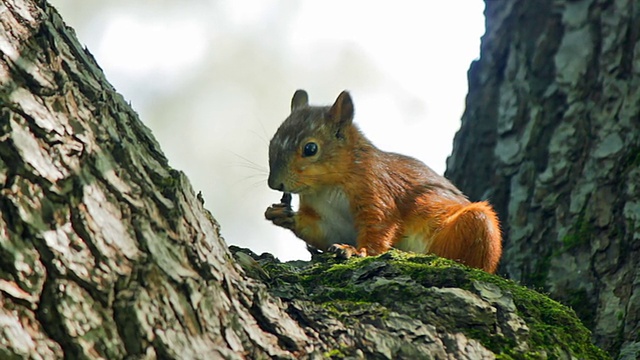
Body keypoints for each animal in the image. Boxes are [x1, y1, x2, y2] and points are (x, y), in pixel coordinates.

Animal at [262, 90, 502, 272]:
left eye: (310, 148)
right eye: (272, 141)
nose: (275, 184)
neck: (327, 188)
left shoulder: (377, 190)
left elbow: (379, 227)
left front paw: (356, 250)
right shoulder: (328, 218)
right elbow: (322, 231)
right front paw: (281, 214)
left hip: (474, 224)